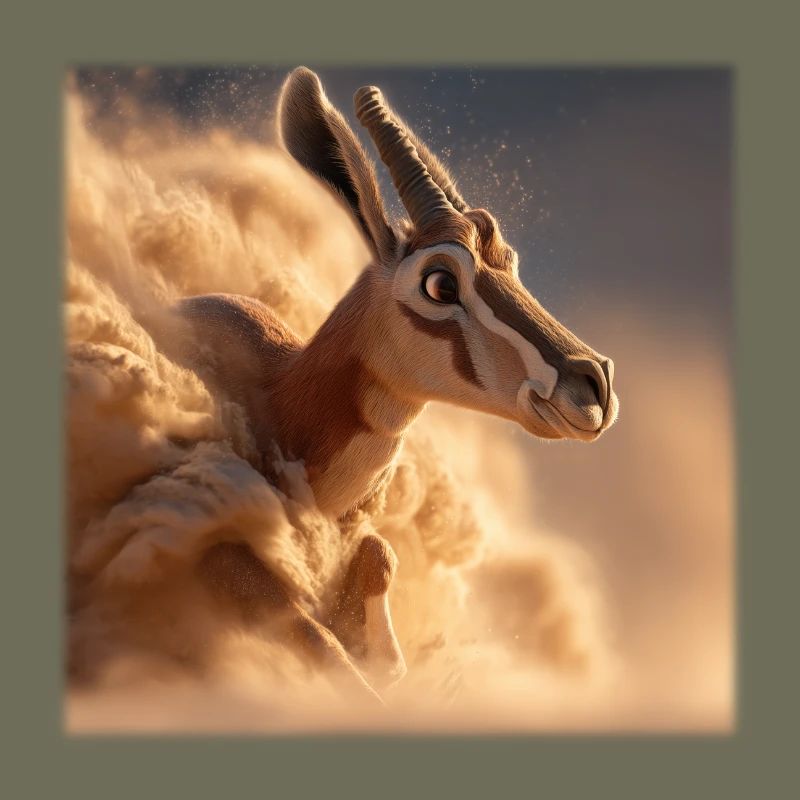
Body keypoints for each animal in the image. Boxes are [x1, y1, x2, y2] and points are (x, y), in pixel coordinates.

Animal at [176, 67, 619, 703]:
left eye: (509, 260)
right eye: (439, 282)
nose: (593, 386)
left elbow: (376, 564)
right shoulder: (211, 544)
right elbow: (313, 634)